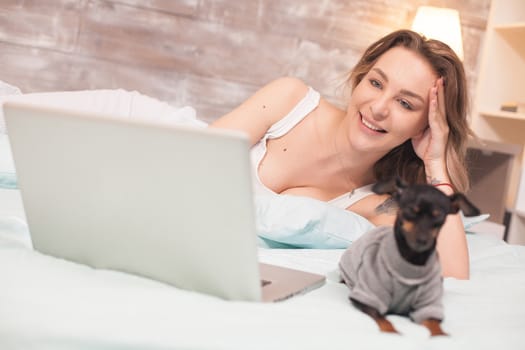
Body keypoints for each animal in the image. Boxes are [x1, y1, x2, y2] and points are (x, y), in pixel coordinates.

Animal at [340, 179, 478, 334]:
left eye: (439, 216)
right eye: (411, 210)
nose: (422, 240)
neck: (412, 262)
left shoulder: (428, 305)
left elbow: (435, 325)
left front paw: (441, 335)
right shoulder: (368, 297)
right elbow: (384, 320)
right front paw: (391, 332)